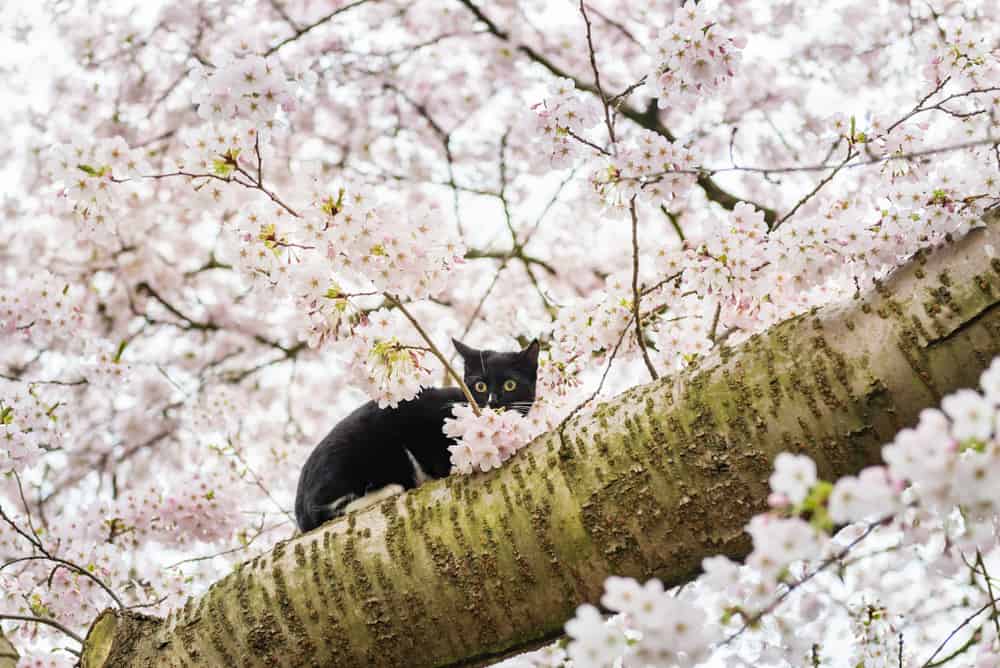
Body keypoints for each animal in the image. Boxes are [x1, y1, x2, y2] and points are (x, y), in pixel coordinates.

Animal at [292, 340, 536, 532]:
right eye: (480, 386)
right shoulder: (425, 424)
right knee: (330, 510)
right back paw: (388, 490)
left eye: (510, 385)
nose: (493, 403)